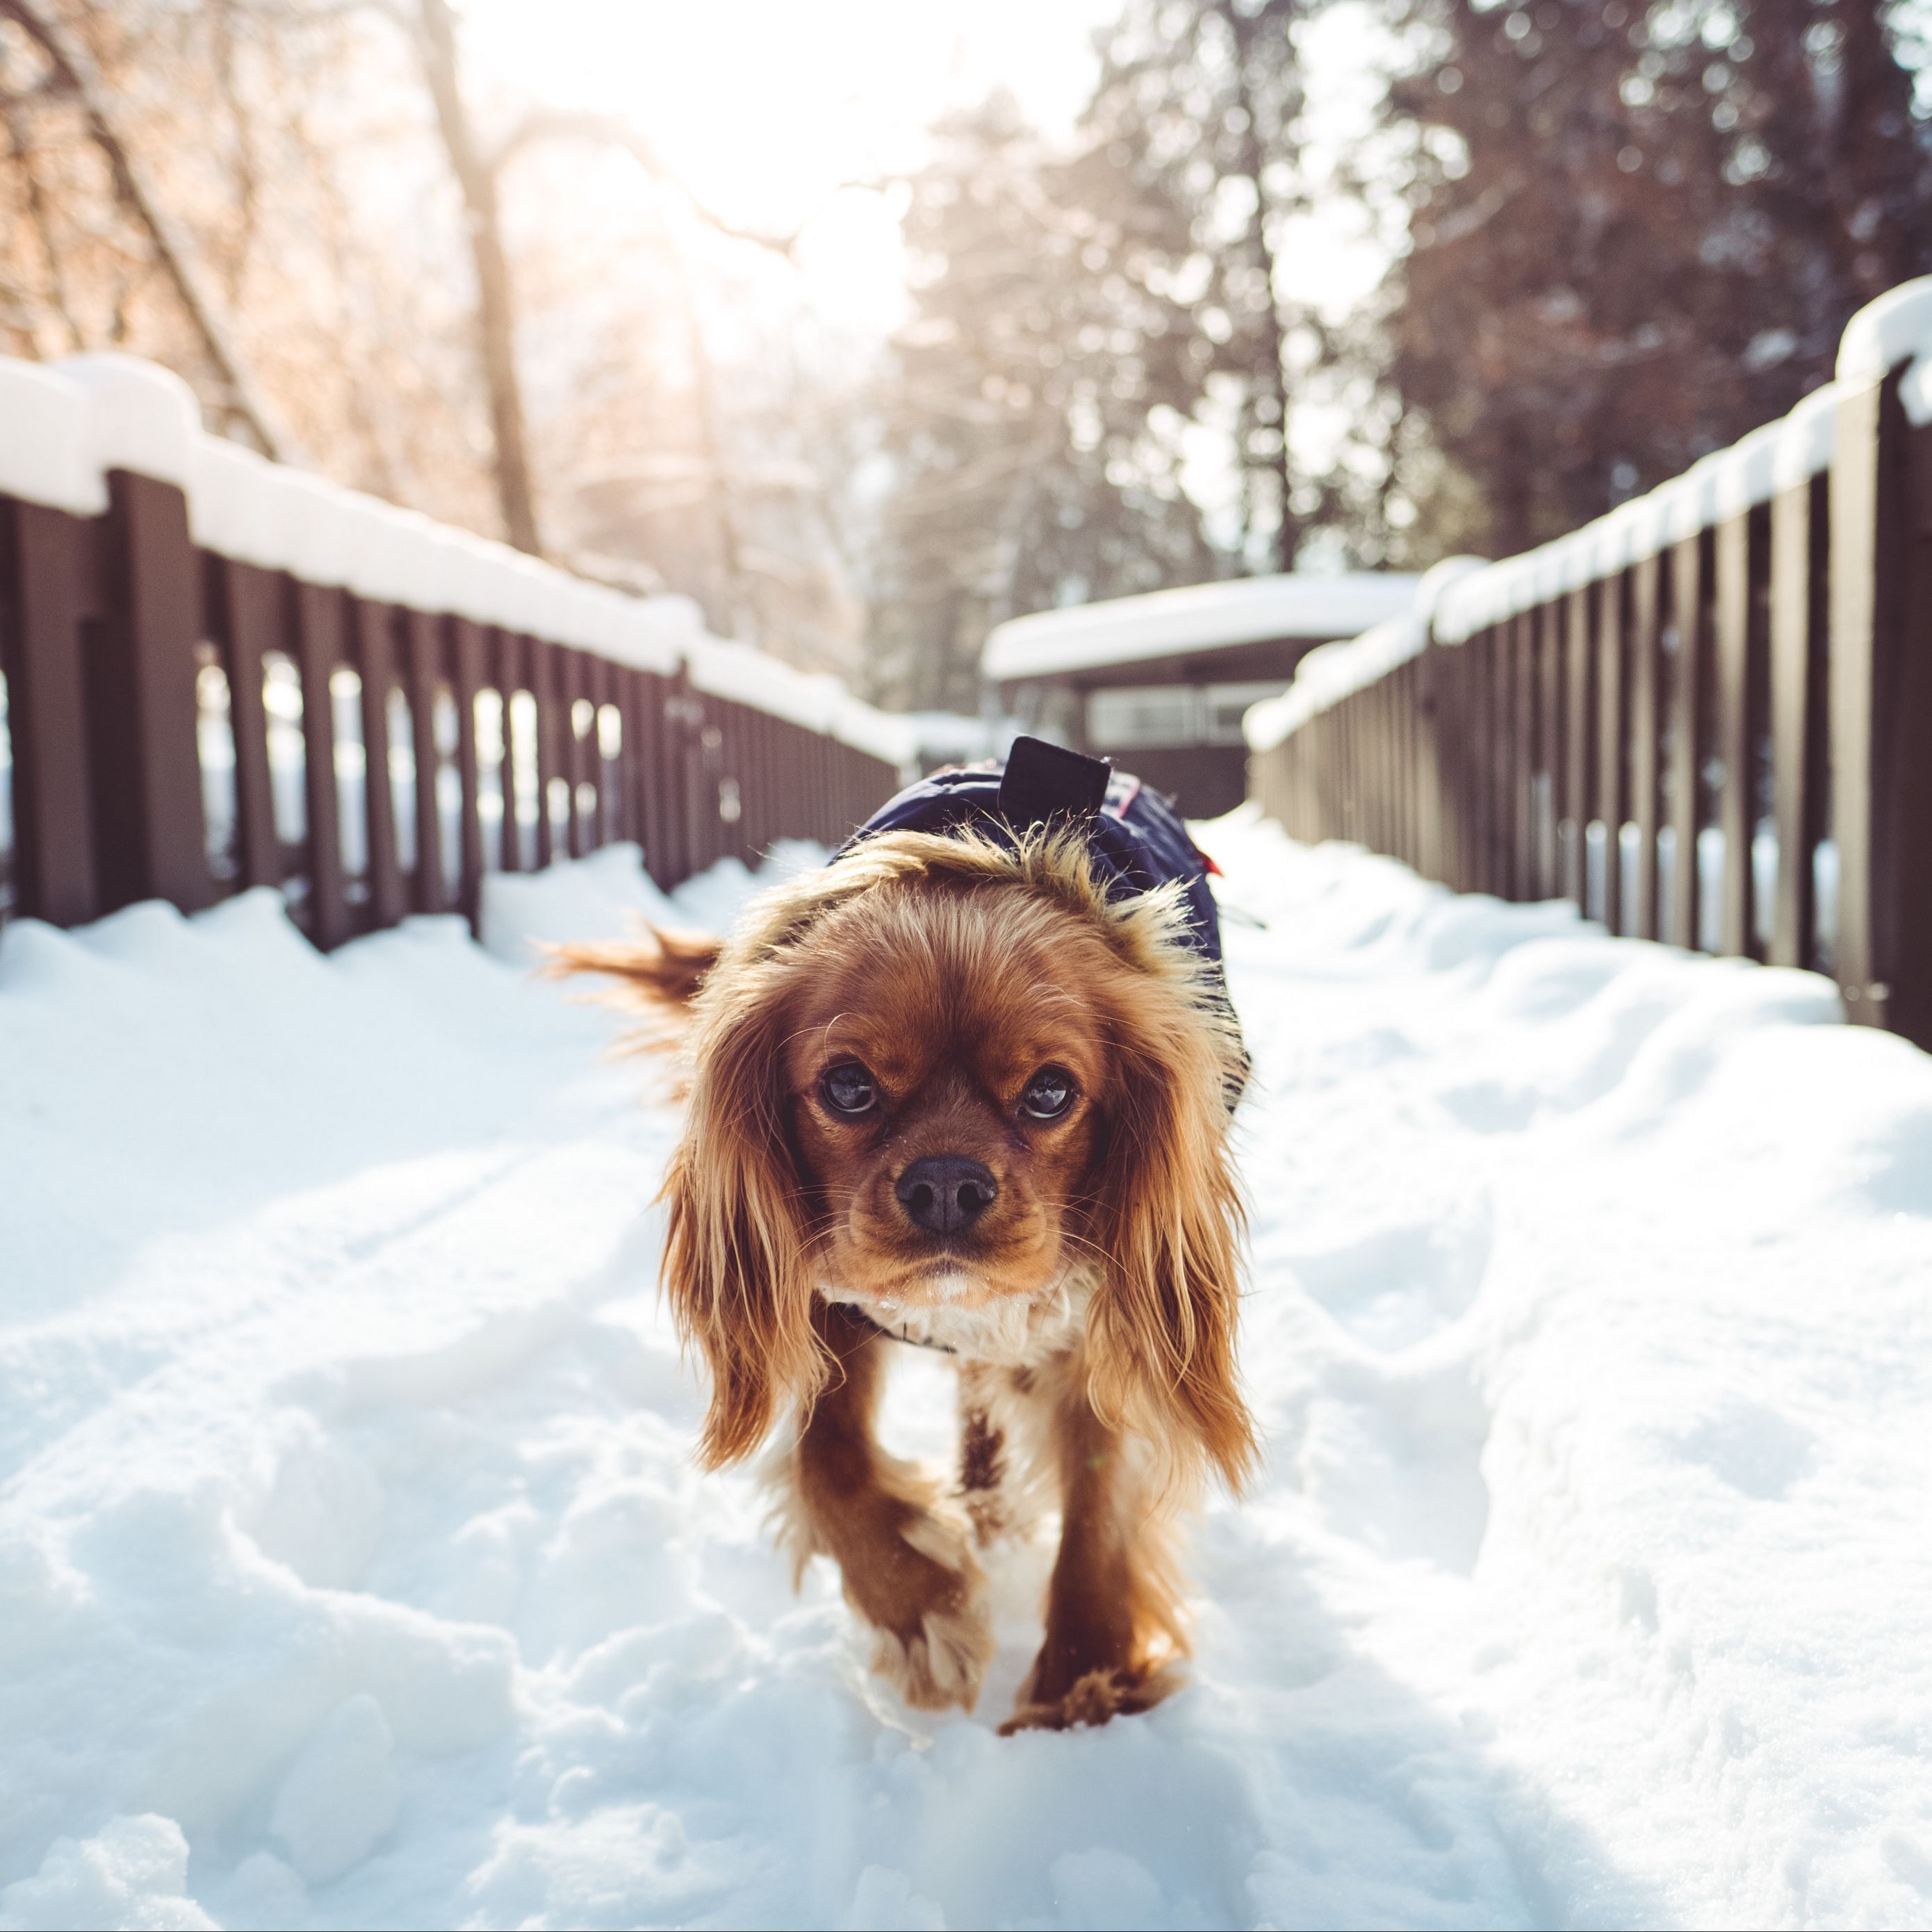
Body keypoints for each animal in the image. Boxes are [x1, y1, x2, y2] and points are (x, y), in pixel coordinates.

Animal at [568, 737, 1252, 1739]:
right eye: (848, 1087)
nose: (945, 1183)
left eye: (1051, 1091)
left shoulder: (1098, 1326)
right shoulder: (834, 1307)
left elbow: (1098, 1511)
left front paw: (1078, 1692)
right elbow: (829, 1465)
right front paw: (924, 1612)